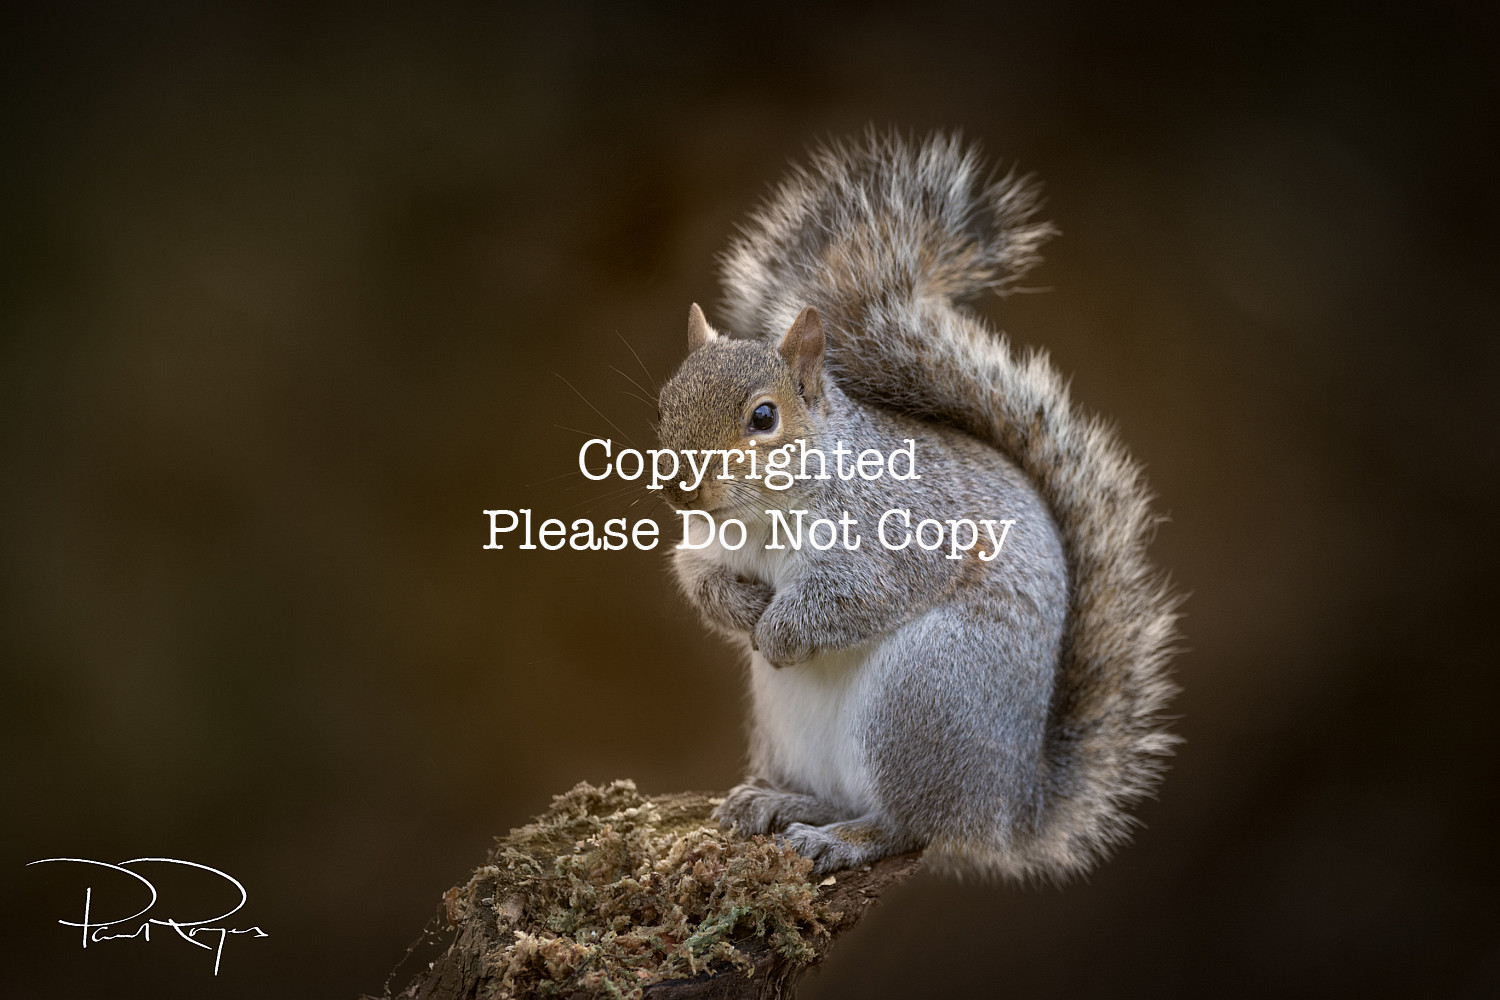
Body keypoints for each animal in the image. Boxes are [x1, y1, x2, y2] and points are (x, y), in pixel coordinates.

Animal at [653, 131, 1180, 881]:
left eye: (763, 417)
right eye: (664, 402)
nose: (679, 488)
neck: (763, 516)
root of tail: (1010, 811)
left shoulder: (900, 530)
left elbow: (858, 594)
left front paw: (779, 629)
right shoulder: (707, 541)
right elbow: (695, 576)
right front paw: (741, 609)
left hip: (922, 697)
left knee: (910, 824)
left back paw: (843, 838)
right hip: (794, 726)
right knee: (842, 795)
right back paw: (779, 802)